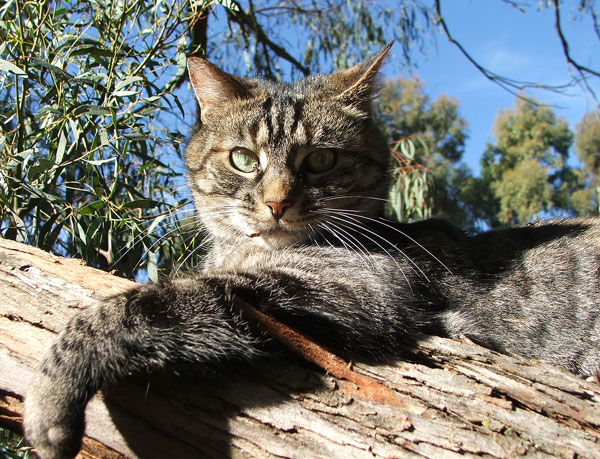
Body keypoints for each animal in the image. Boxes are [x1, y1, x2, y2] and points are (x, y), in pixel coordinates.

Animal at [23, 44, 600, 459]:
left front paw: (49, 398)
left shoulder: (344, 288)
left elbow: (131, 307)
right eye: (243, 158)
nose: (277, 203)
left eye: (321, 160)